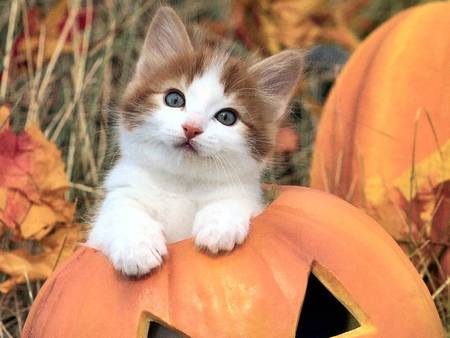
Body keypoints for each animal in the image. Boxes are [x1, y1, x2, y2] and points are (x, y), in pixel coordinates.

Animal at [85, 6, 302, 276]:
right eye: (174, 99)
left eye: (227, 117)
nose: (192, 128)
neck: (180, 184)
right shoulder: (119, 197)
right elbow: (122, 214)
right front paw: (137, 247)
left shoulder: (250, 197)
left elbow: (236, 201)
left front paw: (219, 225)